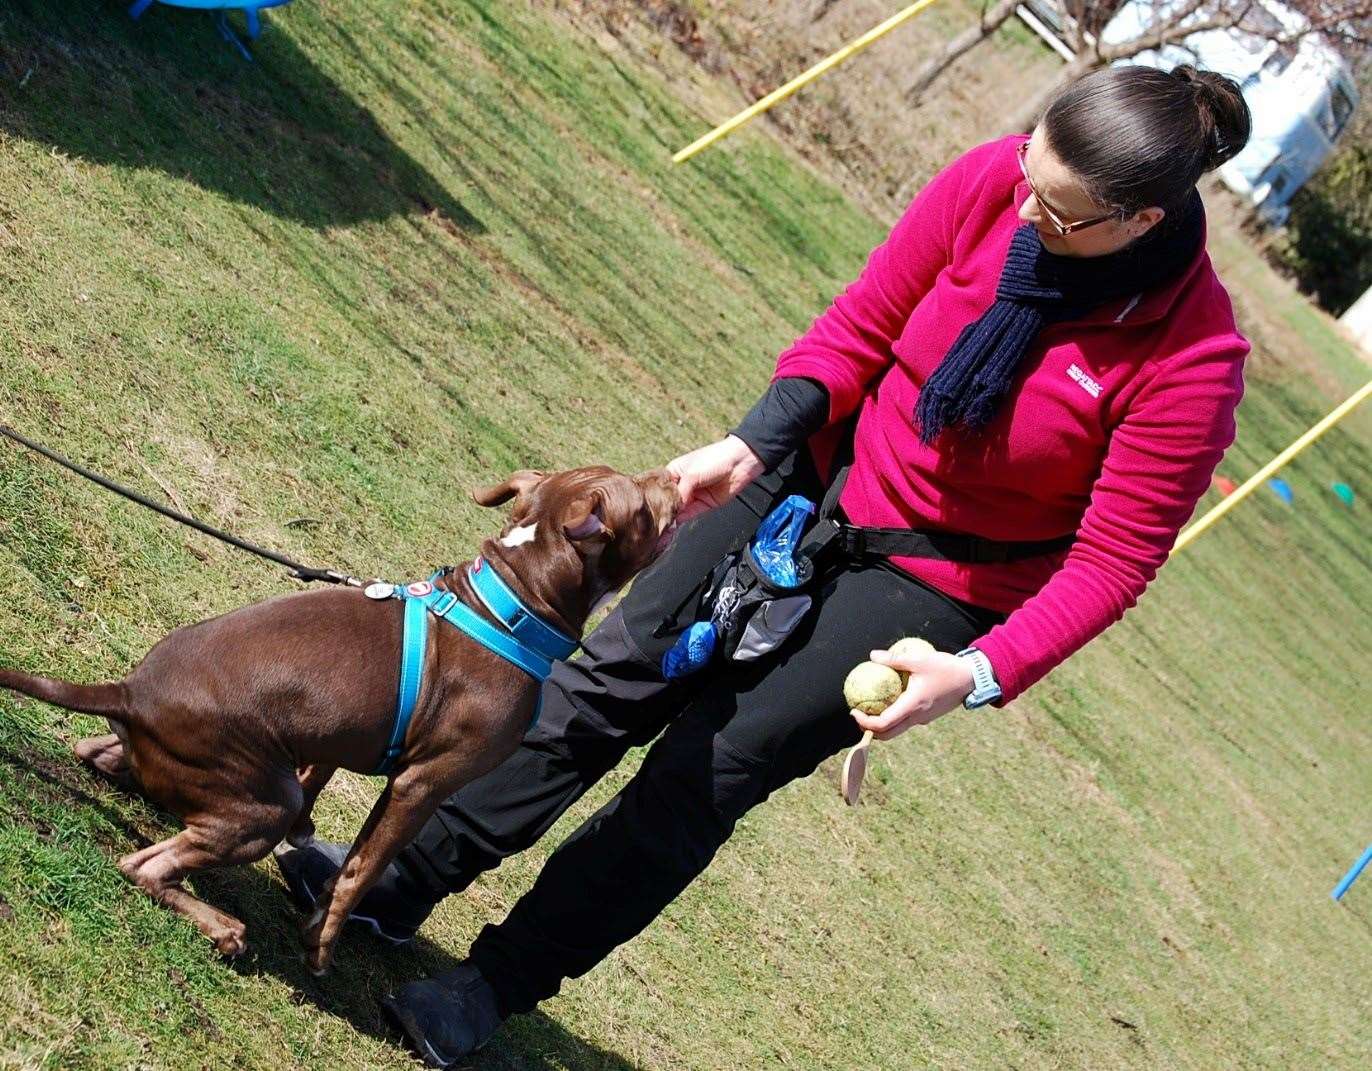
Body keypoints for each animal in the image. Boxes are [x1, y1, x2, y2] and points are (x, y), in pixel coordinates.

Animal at [0, 463, 680, 970]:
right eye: (643, 505)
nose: (677, 477)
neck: (513, 603)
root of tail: (129, 692)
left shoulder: (331, 736)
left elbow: (323, 798)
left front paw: (313, 873)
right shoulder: (422, 784)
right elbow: (362, 868)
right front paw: (322, 943)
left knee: (102, 757)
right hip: (259, 805)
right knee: (146, 866)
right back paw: (225, 928)